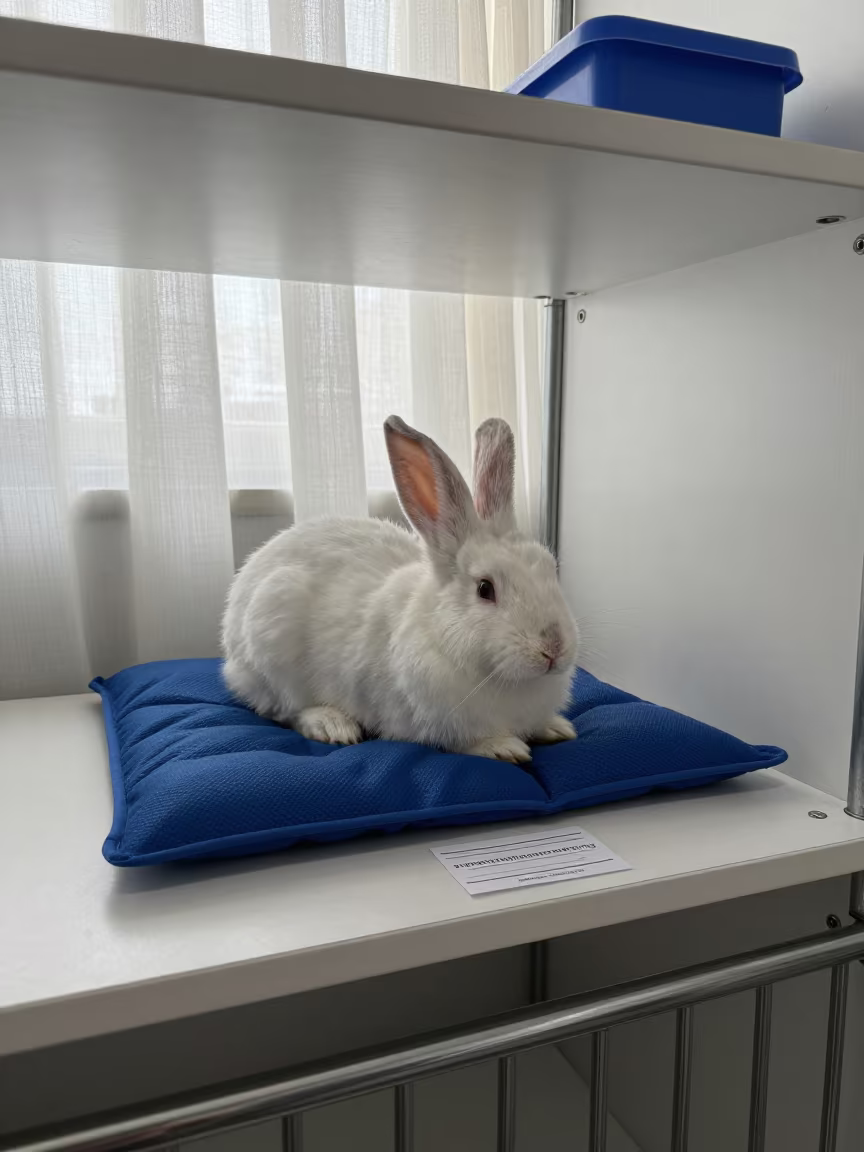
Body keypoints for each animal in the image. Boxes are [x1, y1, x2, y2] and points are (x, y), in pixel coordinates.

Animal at [221, 415, 578, 763]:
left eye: (551, 568)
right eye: (485, 588)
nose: (554, 649)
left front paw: (557, 728)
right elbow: (463, 742)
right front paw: (504, 748)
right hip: (272, 637)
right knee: (285, 709)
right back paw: (332, 724)